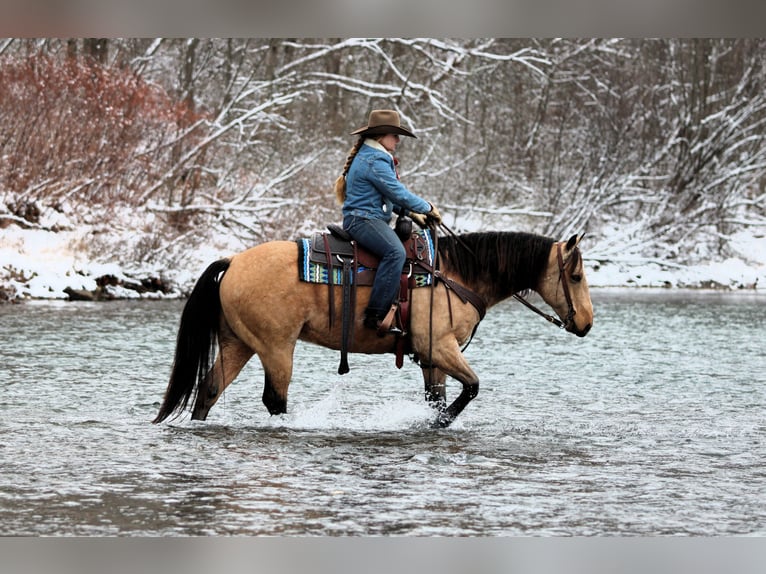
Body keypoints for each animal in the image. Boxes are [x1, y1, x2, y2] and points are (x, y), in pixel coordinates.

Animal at [152, 230, 593, 428]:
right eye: (575, 276)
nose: (586, 324)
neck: (453, 276)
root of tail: (232, 262)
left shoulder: (432, 359)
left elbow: (439, 397)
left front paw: (435, 421)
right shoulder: (439, 347)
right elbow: (472, 387)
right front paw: (439, 423)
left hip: (238, 344)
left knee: (209, 389)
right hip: (276, 347)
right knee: (274, 399)